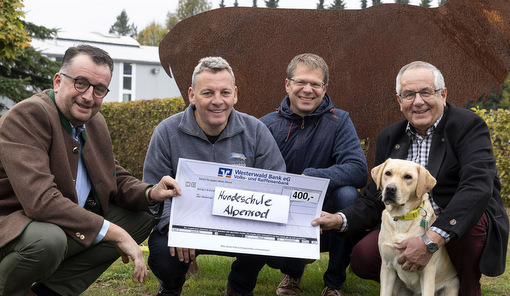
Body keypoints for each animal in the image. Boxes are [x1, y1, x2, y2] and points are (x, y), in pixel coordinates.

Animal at [372, 158, 460, 294]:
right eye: (387, 173)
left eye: (408, 176)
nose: (390, 189)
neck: (402, 218)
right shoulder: (387, 268)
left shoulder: (427, 271)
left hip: (452, 286)